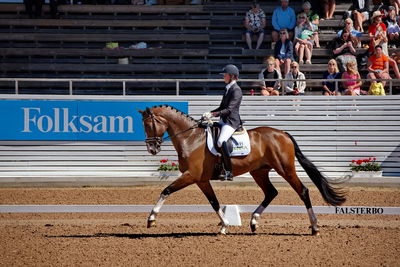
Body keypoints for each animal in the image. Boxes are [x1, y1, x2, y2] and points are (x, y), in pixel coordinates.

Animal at [139, 105, 346, 236]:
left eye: (149, 125)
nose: (152, 149)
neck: (191, 139)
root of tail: (283, 134)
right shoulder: (201, 180)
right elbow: (214, 202)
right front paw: (224, 226)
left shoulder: (191, 176)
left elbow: (166, 190)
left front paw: (151, 219)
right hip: (259, 172)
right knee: (271, 192)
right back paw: (253, 222)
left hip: (285, 169)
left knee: (302, 191)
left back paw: (314, 227)